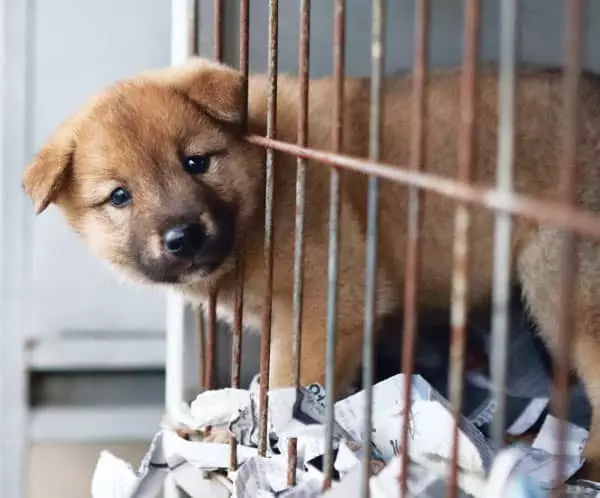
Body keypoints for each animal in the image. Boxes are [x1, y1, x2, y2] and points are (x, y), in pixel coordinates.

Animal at [22, 57, 600, 474]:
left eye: (195, 162)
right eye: (119, 196)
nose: (183, 237)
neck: (267, 181)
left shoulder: (327, 302)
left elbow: (283, 384)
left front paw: (270, 450)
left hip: (560, 282)